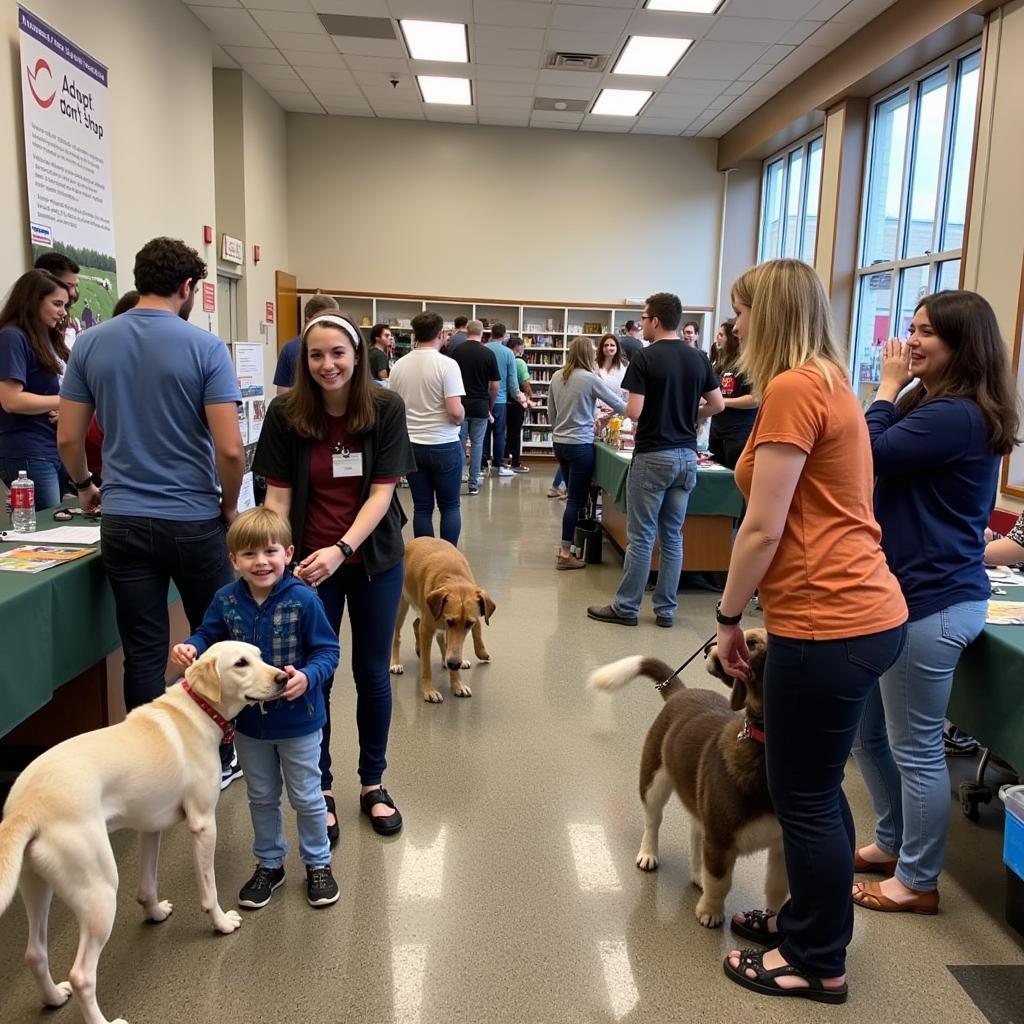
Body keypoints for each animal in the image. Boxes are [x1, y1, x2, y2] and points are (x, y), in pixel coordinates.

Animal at [0, 643, 286, 1019]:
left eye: (260, 655)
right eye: (241, 663)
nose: (283, 677)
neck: (198, 709)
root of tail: (26, 805)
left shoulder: (150, 828)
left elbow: (147, 885)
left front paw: (155, 914)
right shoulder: (203, 824)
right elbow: (208, 889)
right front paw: (221, 923)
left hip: (37, 887)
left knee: (35, 953)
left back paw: (53, 997)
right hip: (99, 891)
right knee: (81, 975)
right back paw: (103, 1020)